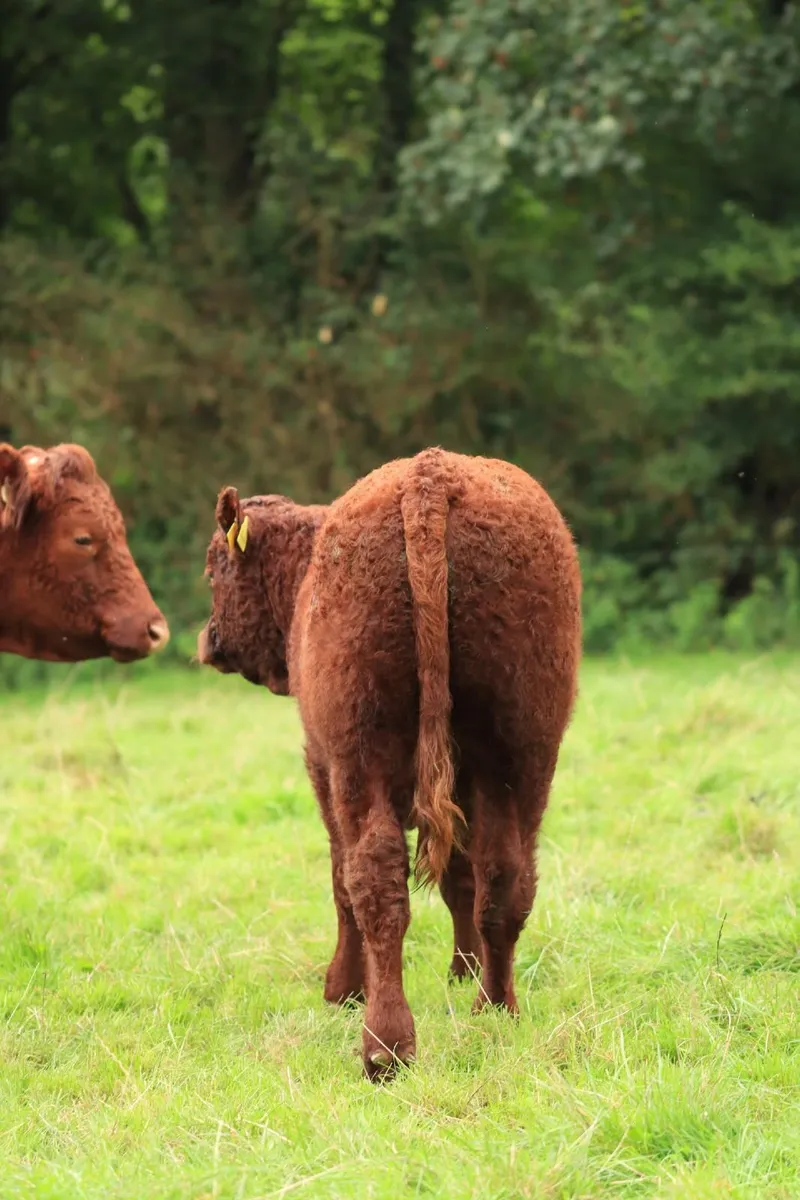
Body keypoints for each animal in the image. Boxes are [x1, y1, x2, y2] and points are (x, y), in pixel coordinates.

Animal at [197, 448, 581, 1080]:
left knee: (373, 880)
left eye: (212, 572)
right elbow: (460, 877)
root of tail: (429, 475)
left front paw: (343, 989)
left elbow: (341, 881)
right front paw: (462, 970)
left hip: (361, 754)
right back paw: (495, 1007)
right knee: (506, 877)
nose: (208, 640)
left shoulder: (320, 764)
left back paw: (384, 1044)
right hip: (523, 751)